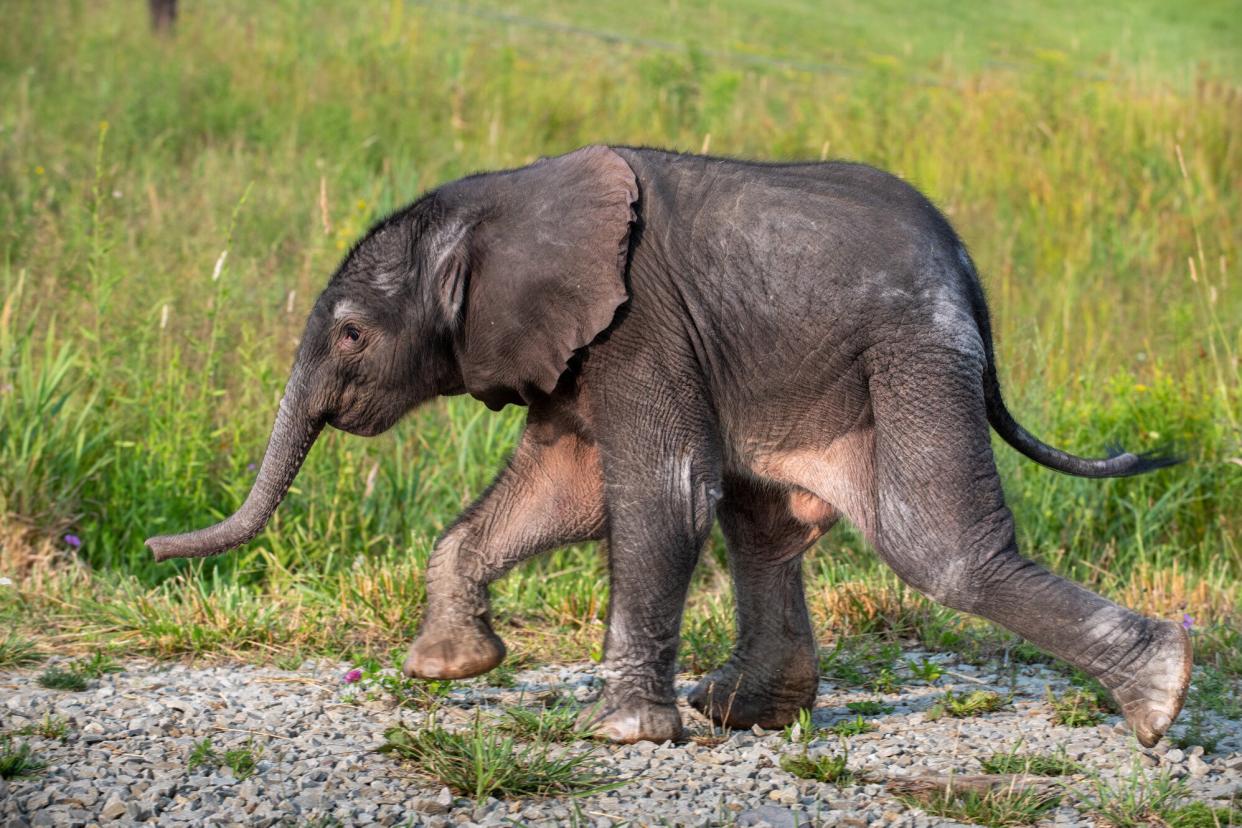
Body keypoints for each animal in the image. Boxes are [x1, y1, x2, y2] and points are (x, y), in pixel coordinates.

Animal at [147, 145, 1192, 749]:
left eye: (354, 335)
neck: (496, 200)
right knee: (767, 527)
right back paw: (738, 713)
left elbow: (661, 491)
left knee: (936, 548)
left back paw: (1163, 698)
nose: (155, 550)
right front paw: (448, 670)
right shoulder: (575, 344)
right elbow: (562, 490)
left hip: (911, 350)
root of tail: (972, 277)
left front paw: (617, 737)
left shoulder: (638, 322)